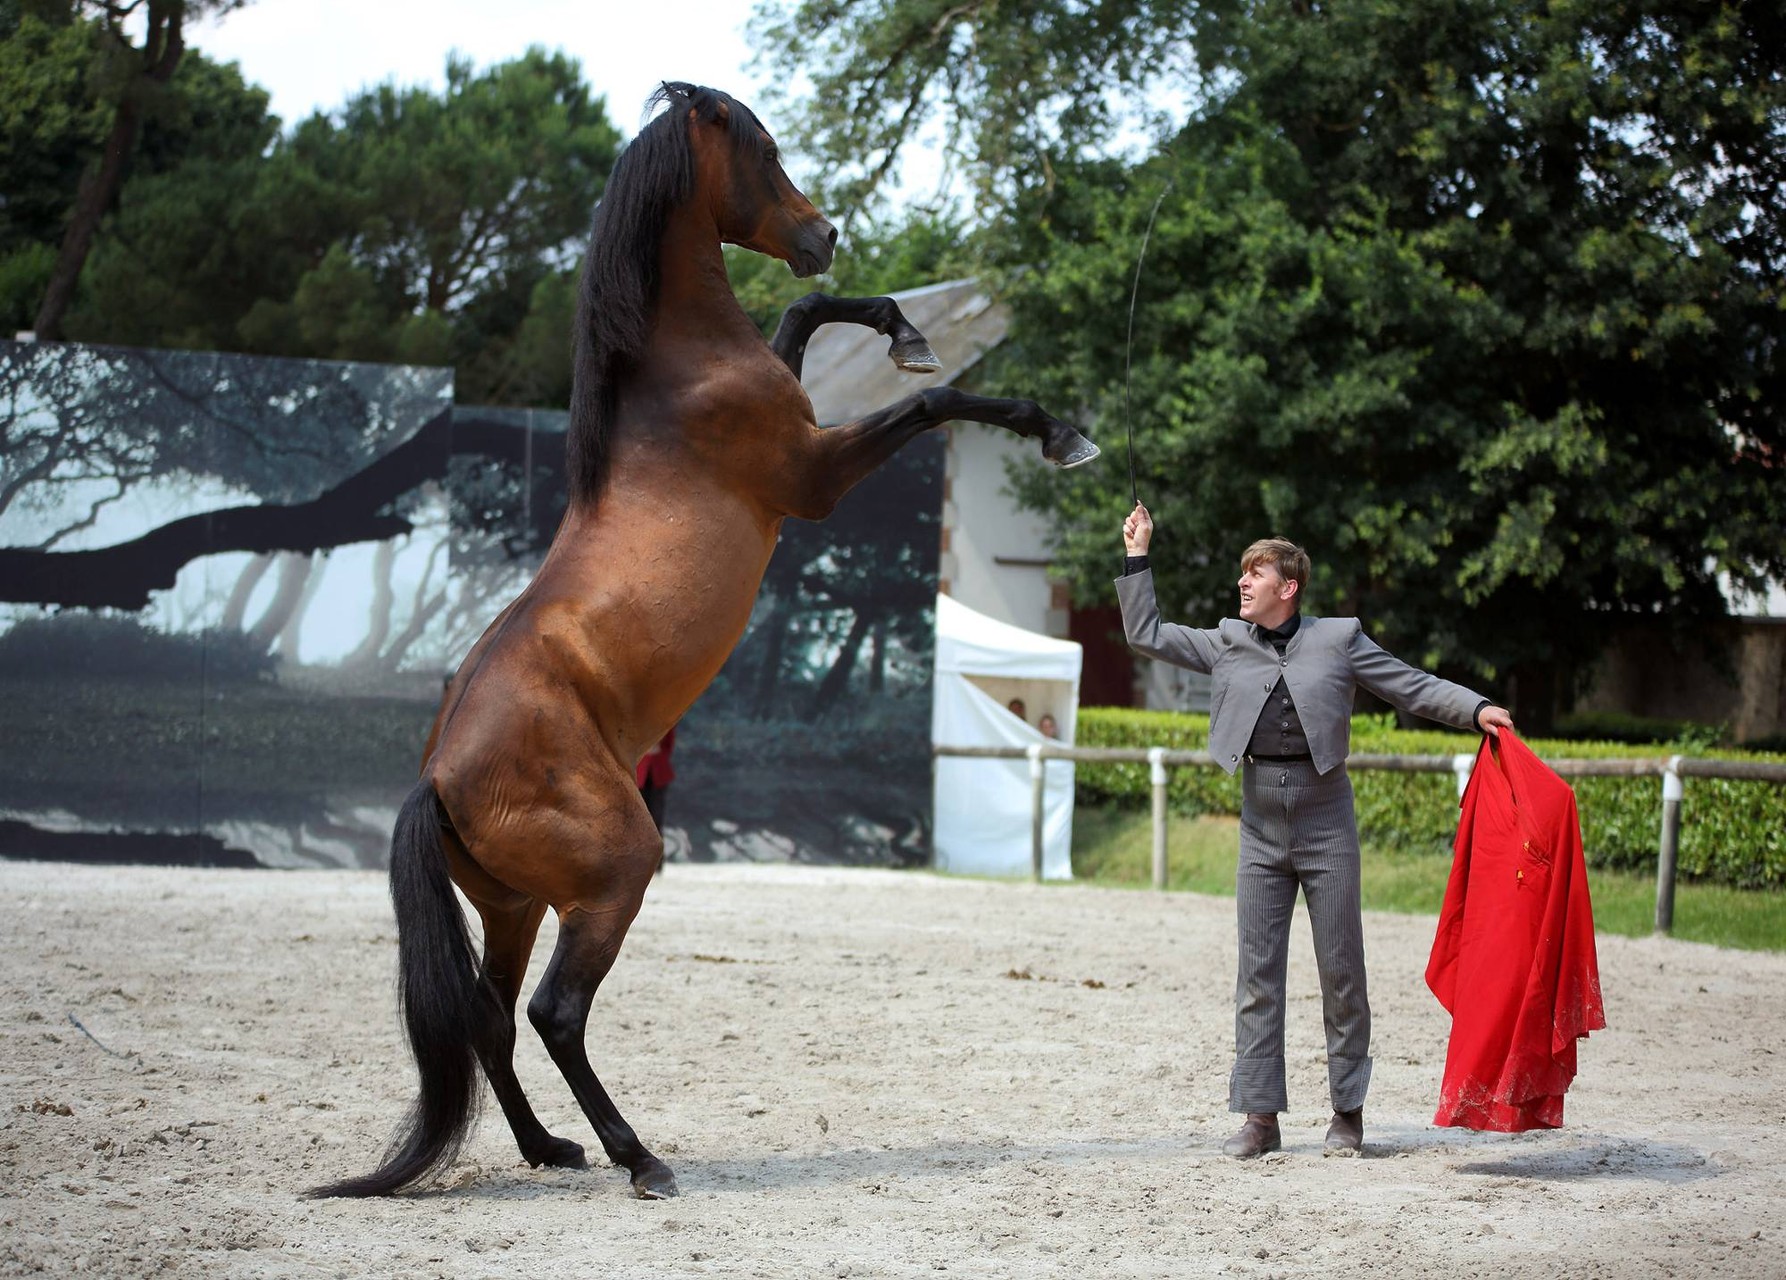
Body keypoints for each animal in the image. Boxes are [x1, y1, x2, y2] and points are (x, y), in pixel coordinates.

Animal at [307, 84, 1093, 1206]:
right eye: (761, 149)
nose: (823, 233)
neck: (678, 373)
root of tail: (436, 776)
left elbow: (810, 317)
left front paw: (902, 327)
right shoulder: (813, 478)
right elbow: (931, 399)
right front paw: (1054, 428)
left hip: (515, 905)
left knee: (493, 1020)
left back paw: (552, 1148)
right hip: (615, 872)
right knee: (553, 1013)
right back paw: (638, 1157)